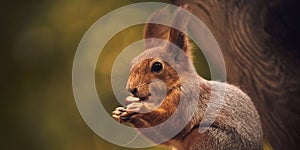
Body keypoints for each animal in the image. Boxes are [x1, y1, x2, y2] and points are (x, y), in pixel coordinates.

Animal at [112, 6, 262, 150]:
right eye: (132, 63)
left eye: (157, 66)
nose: (131, 89)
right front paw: (121, 110)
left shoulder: (189, 99)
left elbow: (174, 124)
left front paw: (140, 108)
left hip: (209, 138)